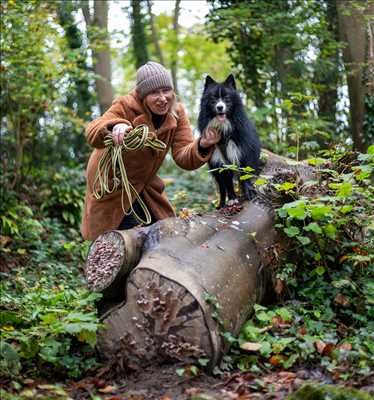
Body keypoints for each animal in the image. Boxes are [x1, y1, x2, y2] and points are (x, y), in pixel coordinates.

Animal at [199, 73, 260, 208]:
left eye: (226, 97)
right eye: (213, 98)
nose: (220, 107)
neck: (224, 130)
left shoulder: (243, 151)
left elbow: (245, 173)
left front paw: (249, 192)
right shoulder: (219, 161)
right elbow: (227, 183)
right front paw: (232, 198)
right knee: (221, 187)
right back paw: (221, 204)